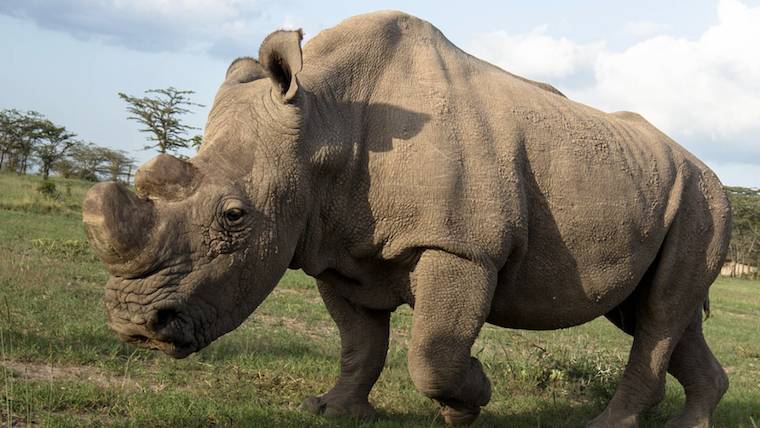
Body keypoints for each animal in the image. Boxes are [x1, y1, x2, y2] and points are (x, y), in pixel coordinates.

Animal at [82, 11, 731, 427]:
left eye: (235, 217)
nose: (135, 325)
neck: (324, 123)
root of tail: (710, 171)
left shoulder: (461, 246)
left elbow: (432, 353)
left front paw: (468, 398)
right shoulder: (332, 246)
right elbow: (360, 342)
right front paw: (333, 410)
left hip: (704, 202)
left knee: (658, 315)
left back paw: (608, 424)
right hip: (664, 191)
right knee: (649, 312)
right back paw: (690, 422)